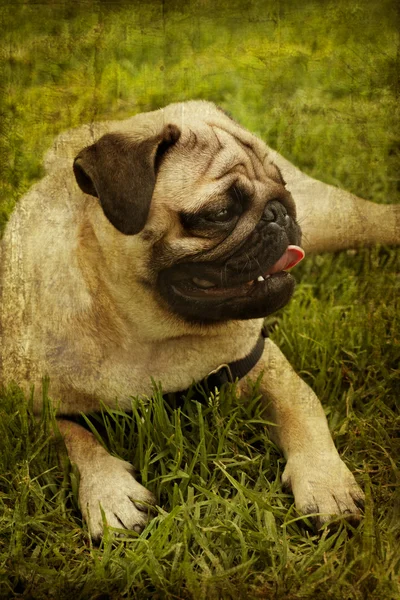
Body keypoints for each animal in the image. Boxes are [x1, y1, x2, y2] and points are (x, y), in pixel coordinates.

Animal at [0, 99, 400, 540]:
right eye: (220, 213)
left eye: (282, 186)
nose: (279, 211)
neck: (146, 332)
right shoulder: (31, 409)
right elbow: (73, 441)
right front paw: (108, 494)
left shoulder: (265, 363)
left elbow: (304, 410)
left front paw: (325, 483)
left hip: (334, 217)